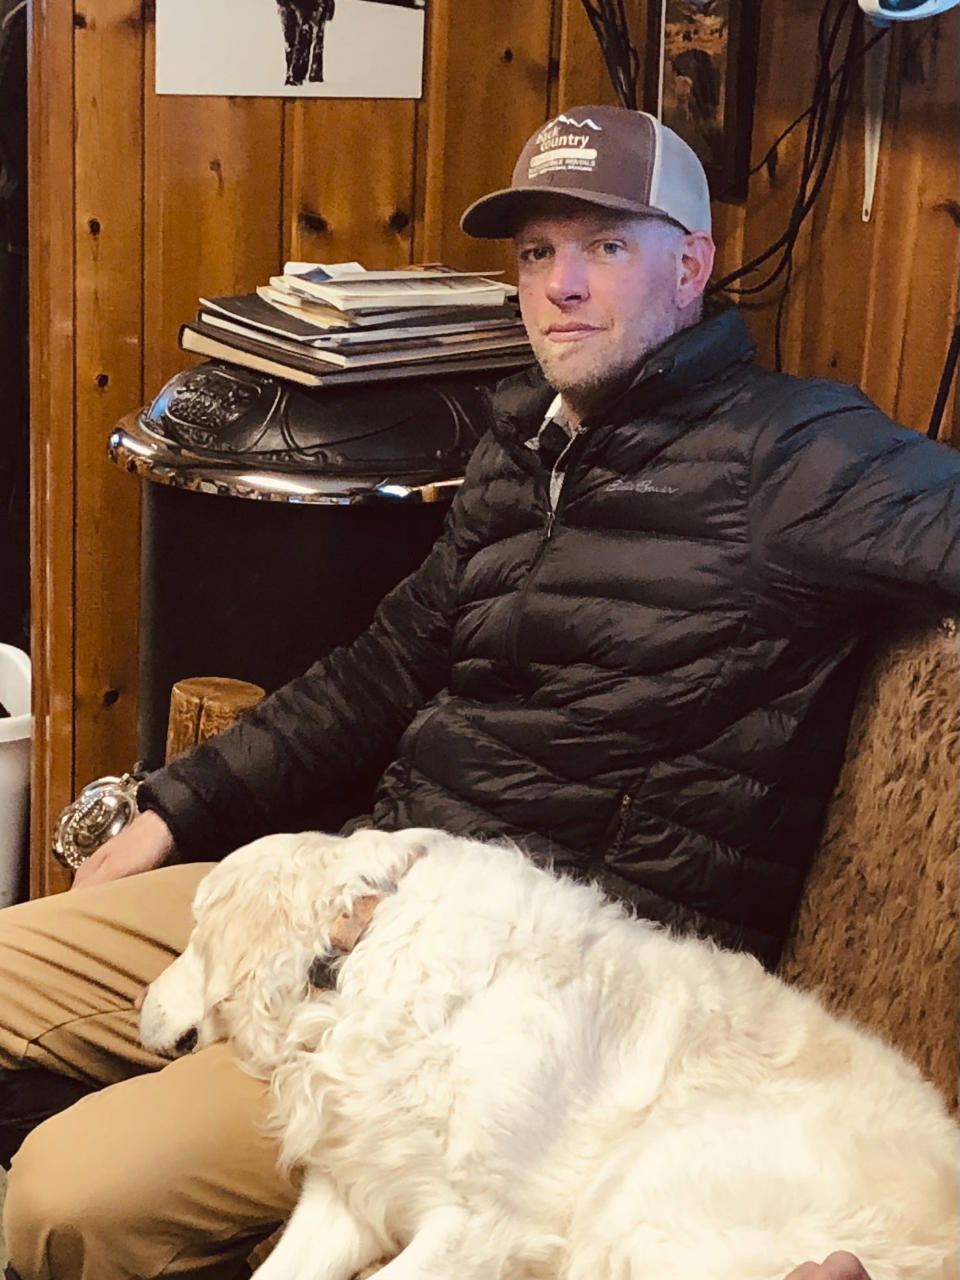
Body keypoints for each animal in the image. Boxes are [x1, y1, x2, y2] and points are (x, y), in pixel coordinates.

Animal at [138, 829, 957, 1280]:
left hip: (640, 1202)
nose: (139, 1004)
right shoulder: (353, 1191)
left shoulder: (483, 1231)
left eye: (192, 930)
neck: (369, 943)